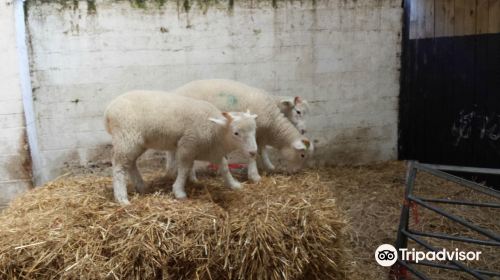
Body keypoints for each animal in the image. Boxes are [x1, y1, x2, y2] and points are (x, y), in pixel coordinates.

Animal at [105, 91, 258, 205]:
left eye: (254, 130)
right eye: (236, 133)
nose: (253, 152)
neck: (215, 131)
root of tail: (108, 111)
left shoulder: (214, 151)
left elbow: (225, 168)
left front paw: (234, 185)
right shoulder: (187, 145)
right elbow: (184, 168)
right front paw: (179, 191)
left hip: (135, 142)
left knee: (130, 163)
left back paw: (141, 186)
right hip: (126, 137)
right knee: (119, 166)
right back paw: (122, 198)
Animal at [168, 79, 312, 182]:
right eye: (302, 155)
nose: (296, 172)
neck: (273, 121)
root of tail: (174, 92)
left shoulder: (259, 135)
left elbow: (262, 150)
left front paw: (268, 166)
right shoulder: (253, 133)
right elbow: (254, 153)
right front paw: (254, 175)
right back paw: (190, 177)